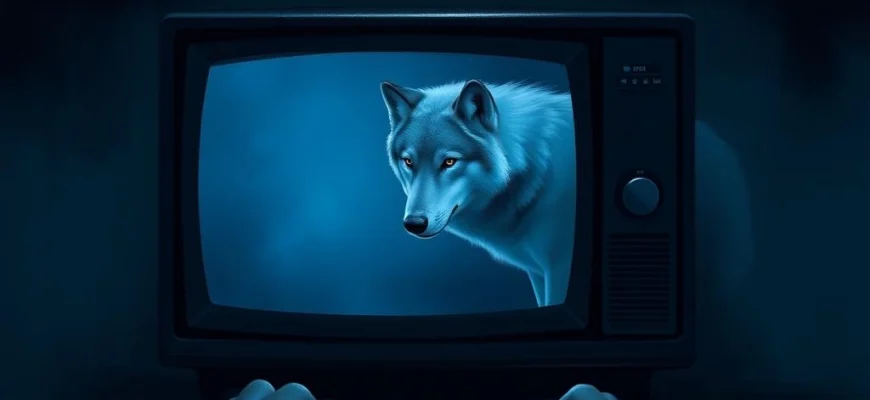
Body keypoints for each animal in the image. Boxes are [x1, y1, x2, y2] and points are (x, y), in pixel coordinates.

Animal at [380, 79, 577, 307]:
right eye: (409, 161)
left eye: (449, 161)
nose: (414, 224)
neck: (539, 165)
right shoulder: (538, 273)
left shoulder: (558, 269)